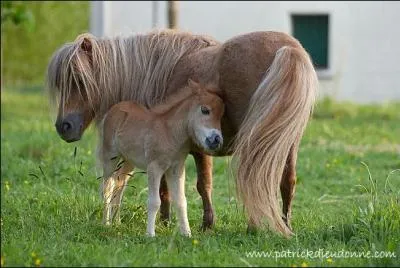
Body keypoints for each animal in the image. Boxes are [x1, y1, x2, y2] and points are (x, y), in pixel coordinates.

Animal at [47, 28, 318, 236]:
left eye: (78, 80)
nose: (63, 127)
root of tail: (288, 49)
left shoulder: (192, 149)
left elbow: (186, 187)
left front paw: (184, 224)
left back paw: (256, 225)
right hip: (288, 143)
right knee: (287, 181)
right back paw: (284, 225)